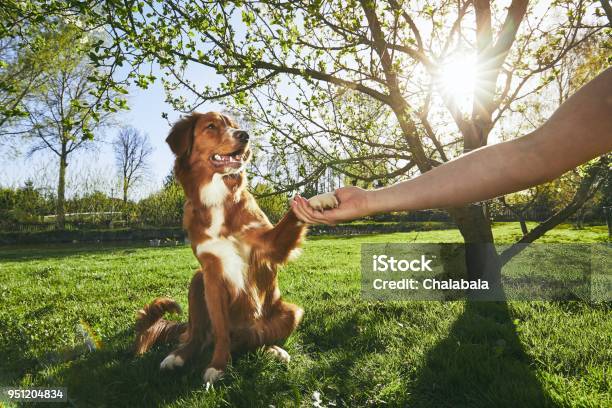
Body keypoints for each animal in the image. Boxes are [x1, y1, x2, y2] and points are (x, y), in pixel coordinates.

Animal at [134, 111, 338, 386]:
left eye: (234, 126)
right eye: (211, 126)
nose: (245, 135)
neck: (218, 198)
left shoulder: (270, 245)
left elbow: (293, 213)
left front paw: (318, 200)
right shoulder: (211, 274)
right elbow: (221, 331)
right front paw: (219, 365)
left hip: (291, 312)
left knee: (254, 341)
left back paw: (274, 350)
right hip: (197, 281)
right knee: (198, 336)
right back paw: (177, 356)